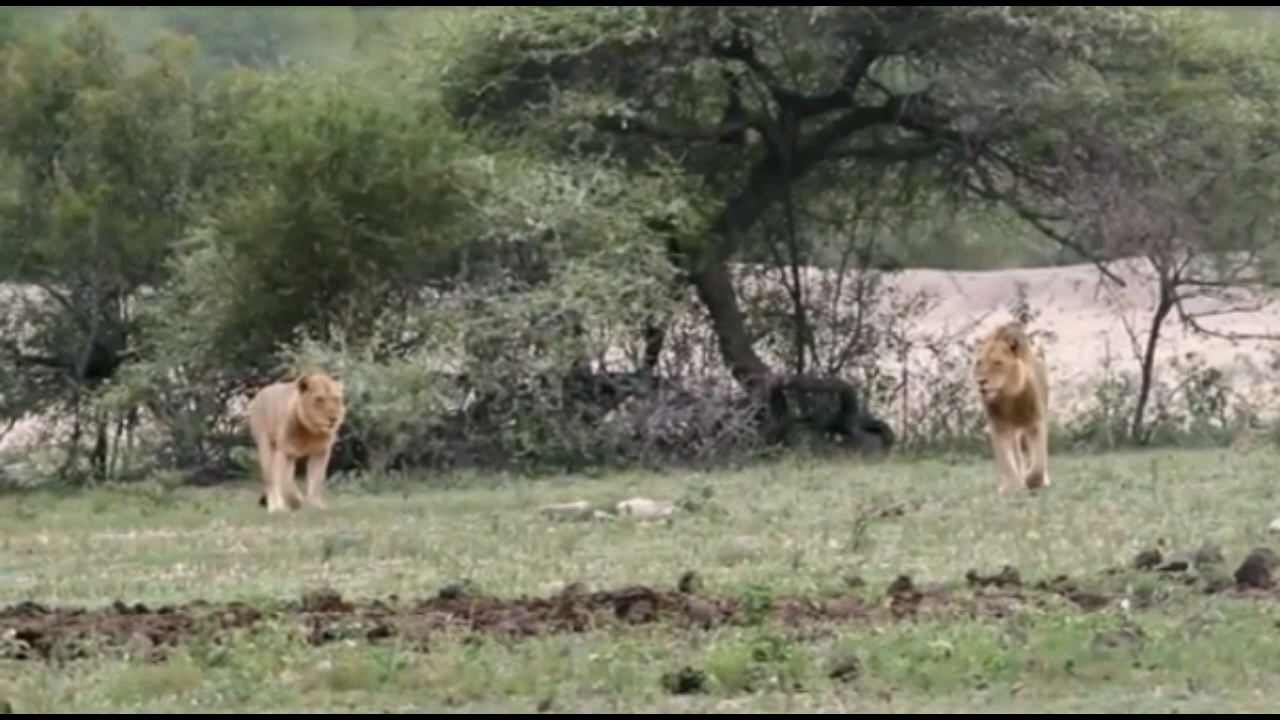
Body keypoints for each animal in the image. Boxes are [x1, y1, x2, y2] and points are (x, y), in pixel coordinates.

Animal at [243, 368, 345, 509]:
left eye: (336, 399)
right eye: (319, 399)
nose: (333, 419)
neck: (312, 431)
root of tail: (261, 392)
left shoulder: (321, 452)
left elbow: (317, 479)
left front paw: (316, 505)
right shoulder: (285, 452)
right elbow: (284, 481)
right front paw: (295, 501)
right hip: (265, 444)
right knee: (271, 478)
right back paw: (275, 506)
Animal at [967, 322, 1049, 489]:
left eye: (997, 363)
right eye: (979, 363)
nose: (981, 381)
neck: (1008, 396)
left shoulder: (1035, 423)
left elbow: (1038, 461)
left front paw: (1032, 480)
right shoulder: (999, 427)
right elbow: (1006, 461)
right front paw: (1013, 486)